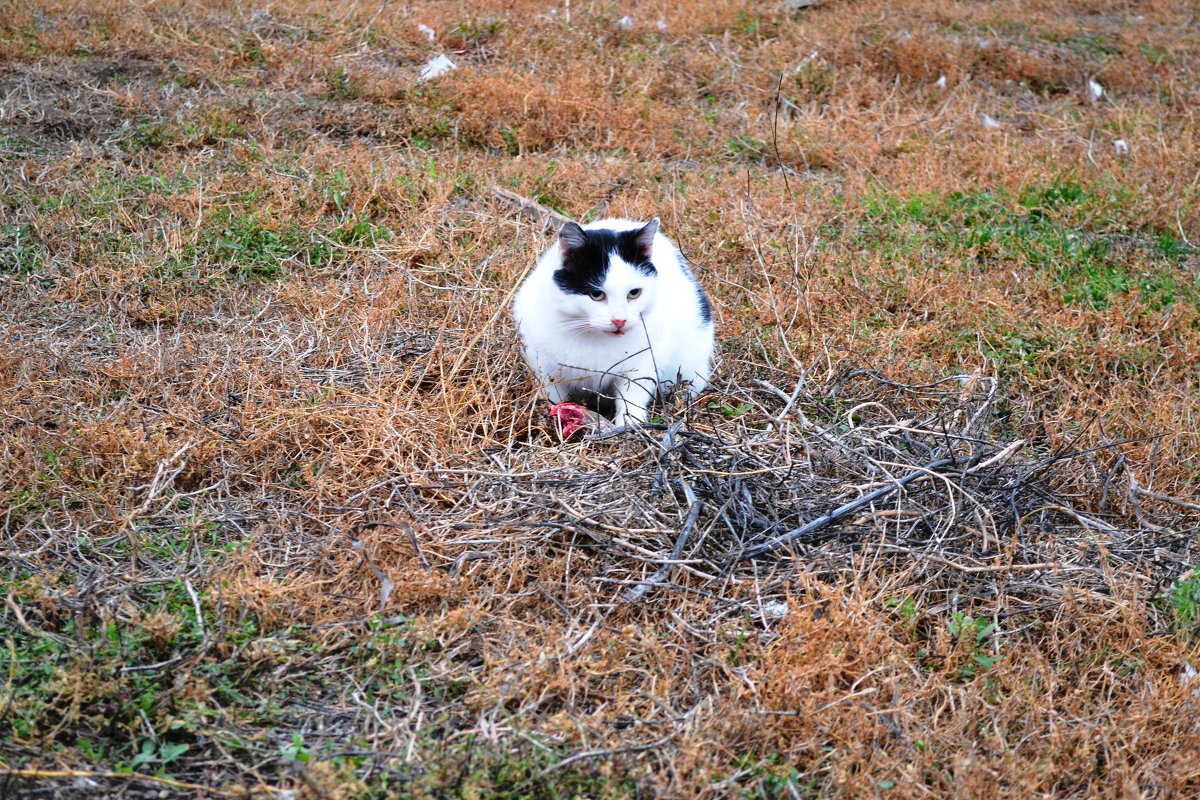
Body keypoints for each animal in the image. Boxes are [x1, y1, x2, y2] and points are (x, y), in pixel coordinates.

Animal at [513, 212, 710, 424]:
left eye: (634, 293)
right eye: (596, 294)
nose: (619, 320)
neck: (595, 339)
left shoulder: (646, 360)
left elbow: (633, 393)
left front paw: (630, 423)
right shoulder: (543, 363)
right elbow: (553, 394)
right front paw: (552, 417)